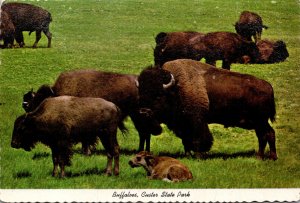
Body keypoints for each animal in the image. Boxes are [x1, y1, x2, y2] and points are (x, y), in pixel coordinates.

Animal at [21, 70, 162, 154]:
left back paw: (142, 151)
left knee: (144, 133)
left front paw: (86, 151)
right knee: (144, 133)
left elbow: (87, 138)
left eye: (39, 99)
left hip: (138, 115)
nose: (29, 114)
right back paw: (142, 151)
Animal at [137, 59, 278, 160]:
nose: (144, 111)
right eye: (141, 94)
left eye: (158, 95)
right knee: (265, 135)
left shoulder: (197, 121)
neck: (176, 88)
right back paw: (264, 157)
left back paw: (266, 157)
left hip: (260, 121)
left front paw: (199, 156)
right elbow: (185, 140)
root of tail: (268, 86)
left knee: (267, 134)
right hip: (258, 122)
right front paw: (188, 155)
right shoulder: (183, 124)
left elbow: (198, 139)